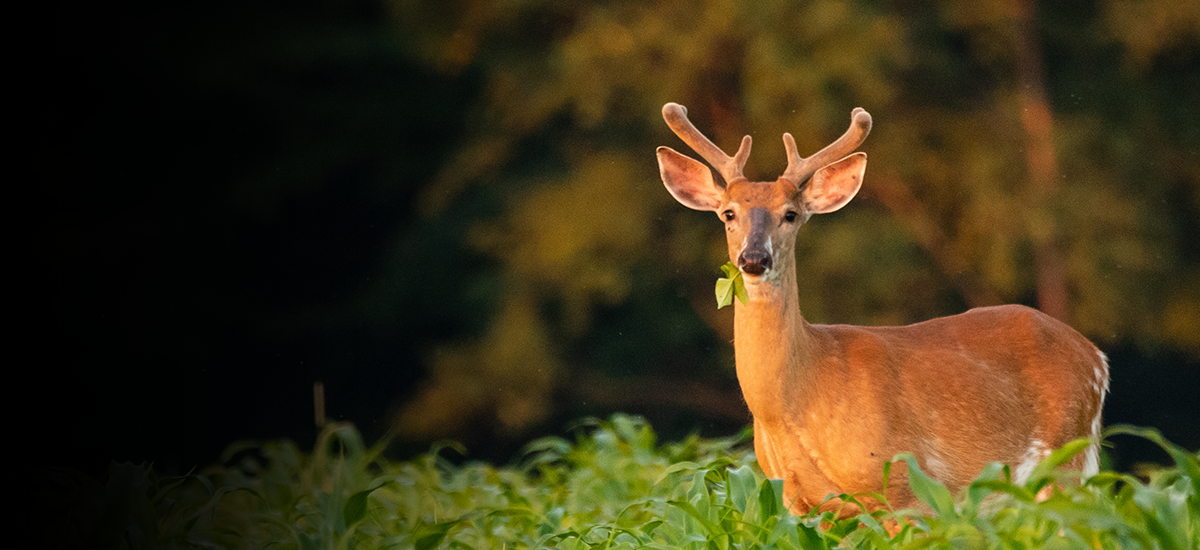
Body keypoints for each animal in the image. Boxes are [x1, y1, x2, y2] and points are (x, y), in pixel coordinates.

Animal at [657, 102, 1104, 518]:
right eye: (728, 213)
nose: (753, 259)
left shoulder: (906, 488)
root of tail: (1096, 356)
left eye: (791, 214)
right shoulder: (801, 505)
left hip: (1067, 459)